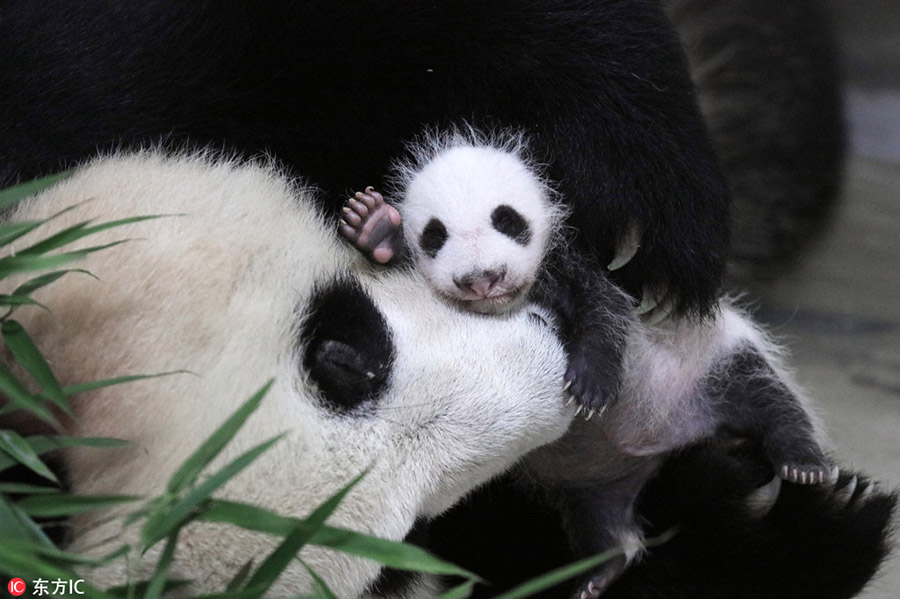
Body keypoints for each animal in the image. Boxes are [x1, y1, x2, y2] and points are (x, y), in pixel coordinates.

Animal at [337, 130, 834, 597]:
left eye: (506, 220)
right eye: (435, 235)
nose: (482, 279)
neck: (512, 301)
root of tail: (656, 445)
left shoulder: (577, 269)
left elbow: (605, 314)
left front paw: (592, 386)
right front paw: (375, 228)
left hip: (710, 363)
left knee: (768, 399)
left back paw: (802, 461)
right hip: (592, 486)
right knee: (598, 522)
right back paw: (599, 571)